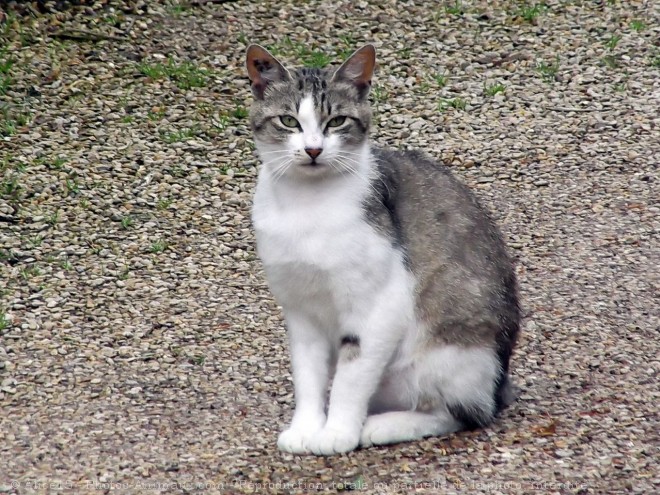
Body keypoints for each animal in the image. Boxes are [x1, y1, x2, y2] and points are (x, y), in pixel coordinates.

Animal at [245, 43, 520, 458]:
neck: (306, 205)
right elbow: (307, 375)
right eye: (289, 121)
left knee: (462, 413)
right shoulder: (300, 309)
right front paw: (306, 428)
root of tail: (499, 383)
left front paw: (337, 433)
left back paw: (381, 426)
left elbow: (351, 376)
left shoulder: (380, 305)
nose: (313, 149)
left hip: (450, 350)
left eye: (337, 121)